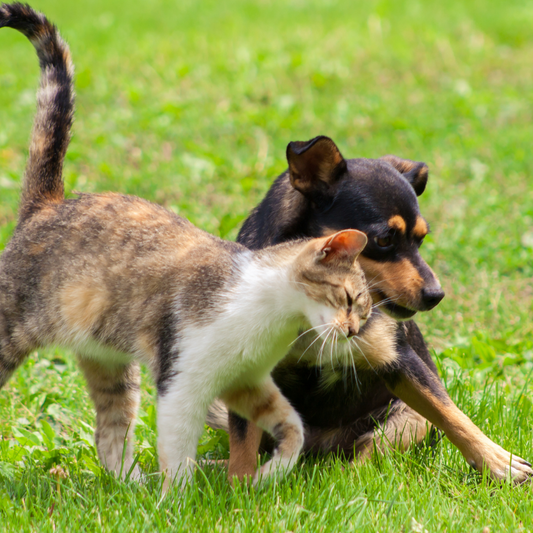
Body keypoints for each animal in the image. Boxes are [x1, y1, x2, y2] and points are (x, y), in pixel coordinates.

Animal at [0, 2, 372, 488]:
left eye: (364, 311)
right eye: (347, 298)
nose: (353, 331)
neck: (270, 318)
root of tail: (47, 204)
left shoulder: (247, 382)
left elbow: (293, 428)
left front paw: (269, 474)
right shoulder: (181, 382)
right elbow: (178, 453)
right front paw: (178, 497)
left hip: (111, 366)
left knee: (109, 434)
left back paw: (133, 488)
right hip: (10, 332)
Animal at [208, 134, 532, 482]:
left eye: (421, 239)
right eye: (384, 239)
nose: (436, 294)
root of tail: (316, 453)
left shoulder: (399, 361)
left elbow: (451, 413)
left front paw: (499, 461)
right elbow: (243, 448)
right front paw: (238, 488)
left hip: (405, 422)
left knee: (362, 462)